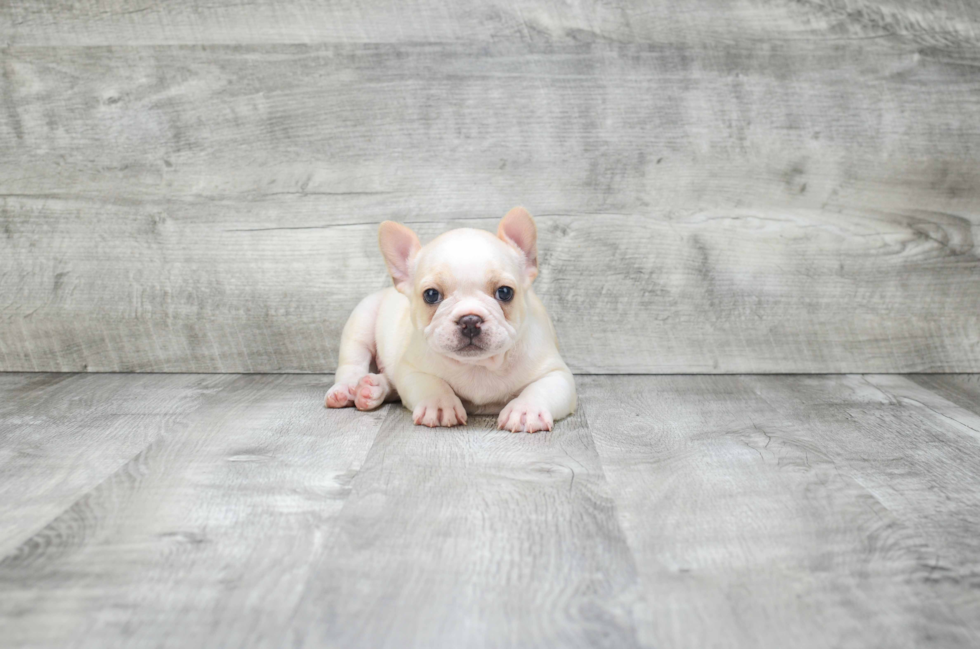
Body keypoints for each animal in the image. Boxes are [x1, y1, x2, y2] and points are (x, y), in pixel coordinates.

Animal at [326, 206, 580, 430]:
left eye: (505, 292)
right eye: (431, 295)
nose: (470, 320)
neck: (478, 365)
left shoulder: (556, 374)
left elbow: (541, 388)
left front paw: (526, 410)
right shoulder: (411, 369)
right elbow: (431, 383)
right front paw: (438, 404)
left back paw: (372, 388)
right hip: (362, 319)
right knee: (353, 362)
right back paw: (348, 389)